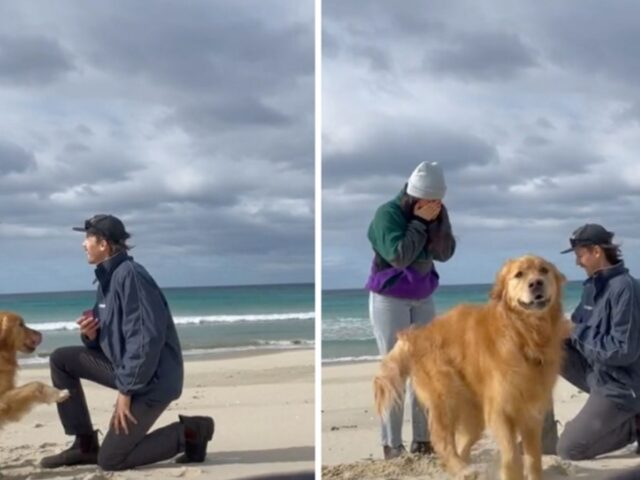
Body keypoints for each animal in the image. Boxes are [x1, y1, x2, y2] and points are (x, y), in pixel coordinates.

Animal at [372, 255, 572, 480]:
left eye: (544, 270)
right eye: (519, 274)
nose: (536, 283)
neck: (524, 336)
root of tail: (418, 333)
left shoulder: (531, 414)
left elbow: (534, 459)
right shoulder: (500, 411)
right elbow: (512, 456)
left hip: (474, 415)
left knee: (462, 443)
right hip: (446, 395)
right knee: (443, 441)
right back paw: (462, 469)